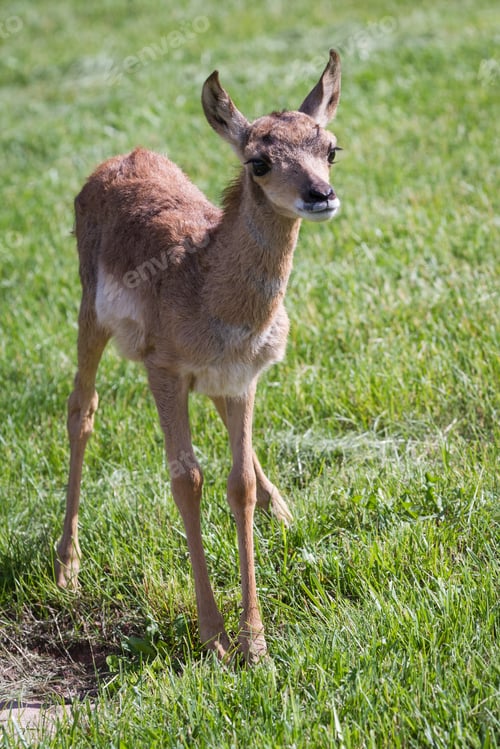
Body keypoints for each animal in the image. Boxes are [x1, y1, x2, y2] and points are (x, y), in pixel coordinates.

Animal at [55, 50, 342, 663]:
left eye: (330, 148)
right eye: (258, 160)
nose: (320, 195)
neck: (205, 284)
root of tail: (122, 158)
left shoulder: (242, 378)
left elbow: (241, 484)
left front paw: (255, 642)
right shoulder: (163, 371)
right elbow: (187, 480)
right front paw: (215, 638)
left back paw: (286, 515)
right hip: (90, 317)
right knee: (81, 408)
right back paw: (67, 564)